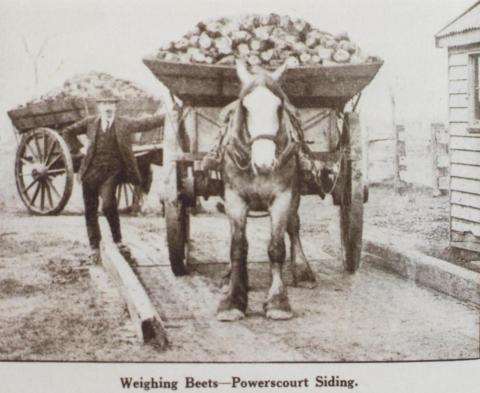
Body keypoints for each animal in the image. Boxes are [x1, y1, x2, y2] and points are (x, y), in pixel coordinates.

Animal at [217, 59, 316, 320]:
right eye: (245, 107)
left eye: (279, 107)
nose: (263, 163)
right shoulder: (235, 198)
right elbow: (238, 246)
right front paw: (233, 299)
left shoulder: (282, 197)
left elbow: (277, 247)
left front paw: (278, 301)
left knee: (294, 226)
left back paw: (302, 270)